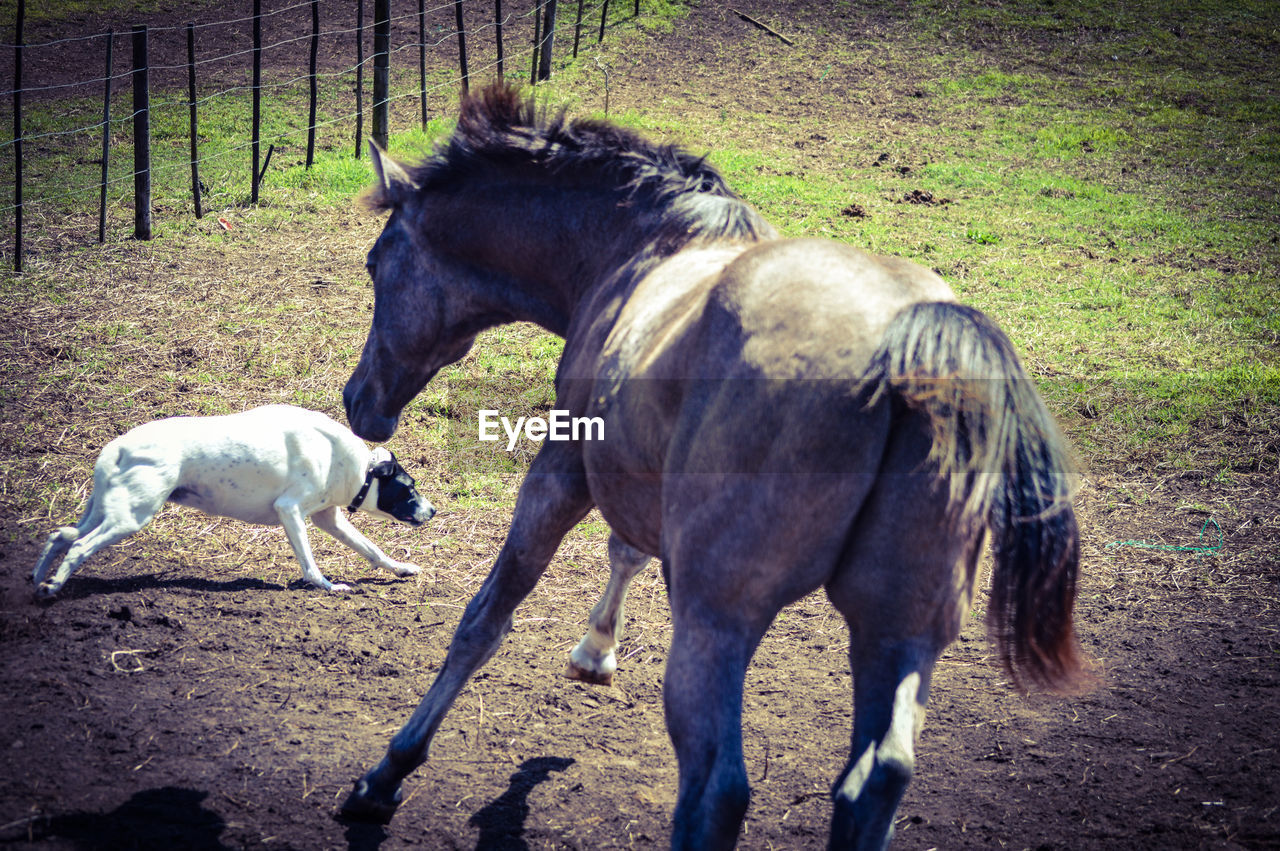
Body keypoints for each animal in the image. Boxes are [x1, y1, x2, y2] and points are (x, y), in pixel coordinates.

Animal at [30, 406, 437, 596]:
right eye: (410, 488)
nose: (432, 510)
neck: (355, 466)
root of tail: (118, 446)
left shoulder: (329, 518)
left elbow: (372, 550)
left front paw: (401, 568)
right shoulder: (290, 511)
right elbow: (309, 564)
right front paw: (325, 586)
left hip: (106, 512)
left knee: (61, 535)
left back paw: (37, 579)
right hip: (130, 517)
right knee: (78, 546)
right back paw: (52, 588)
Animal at [335, 81, 1085, 849]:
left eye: (375, 262)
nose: (357, 400)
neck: (645, 245)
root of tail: (908, 342)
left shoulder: (563, 472)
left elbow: (485, 619)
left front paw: (386, 774)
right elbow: (626, 551)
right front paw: (596, 651)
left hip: (717, 622)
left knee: (717, 790)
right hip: (897, 632)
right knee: (876, 778)